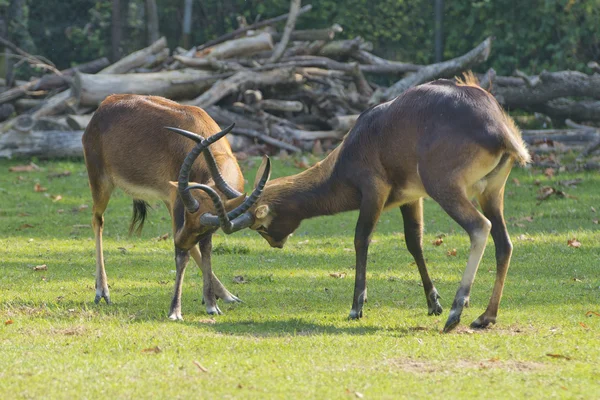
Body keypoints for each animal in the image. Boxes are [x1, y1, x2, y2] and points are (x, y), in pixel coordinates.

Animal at [81, 93, 270, 318]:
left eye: (205, 228)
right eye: (188, 216)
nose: (179, 242)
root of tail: (105, 104)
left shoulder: (190, 213)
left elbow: (205, 249)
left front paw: (212, 303)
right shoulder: (179, 204)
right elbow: (183, 257)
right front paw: (176, 311)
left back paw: (224, 295)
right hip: (101, 182)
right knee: (97, 220)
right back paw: (102, 292)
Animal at [198, 75, 528, 332]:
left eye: (261, 227)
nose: (276, 244)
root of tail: (497, 128)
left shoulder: (373, 192)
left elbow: (361, 239)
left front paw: (357, 307)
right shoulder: (412, 198)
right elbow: (414, 242)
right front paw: (433, 302)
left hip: (446, 189)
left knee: (479, 228)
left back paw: (456, 314)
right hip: (491, 193)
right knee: (504, 243)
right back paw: (485, 317)